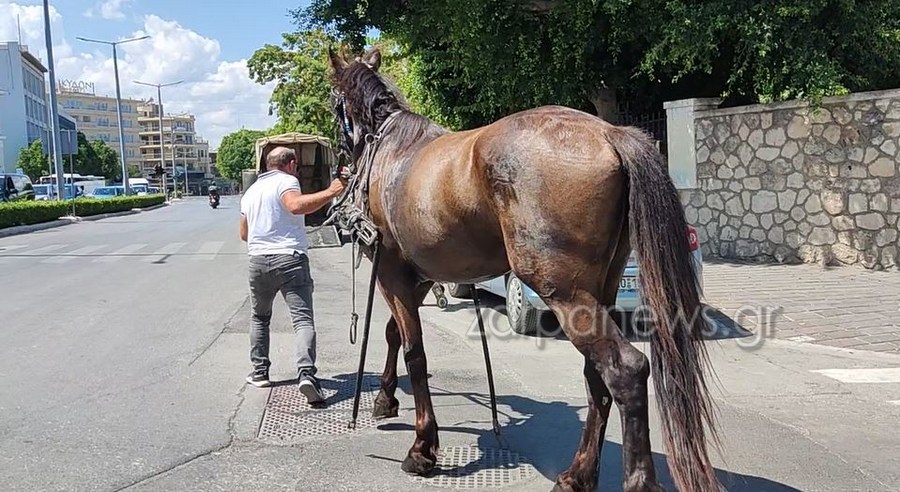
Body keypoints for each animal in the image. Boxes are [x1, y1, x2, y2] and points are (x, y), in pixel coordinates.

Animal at [325, 47, 723, 492]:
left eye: (333, 103)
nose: (341, 160)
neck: (389, 150)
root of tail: (608, 133)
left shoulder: (391, 269)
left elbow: (415, 351)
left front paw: (422, 447)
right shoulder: (422, 275)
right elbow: (395, 334)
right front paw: (385, 399)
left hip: (562, 291)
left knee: (626, 370)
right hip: (601, 288)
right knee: (595, 374)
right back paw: (577, 475)